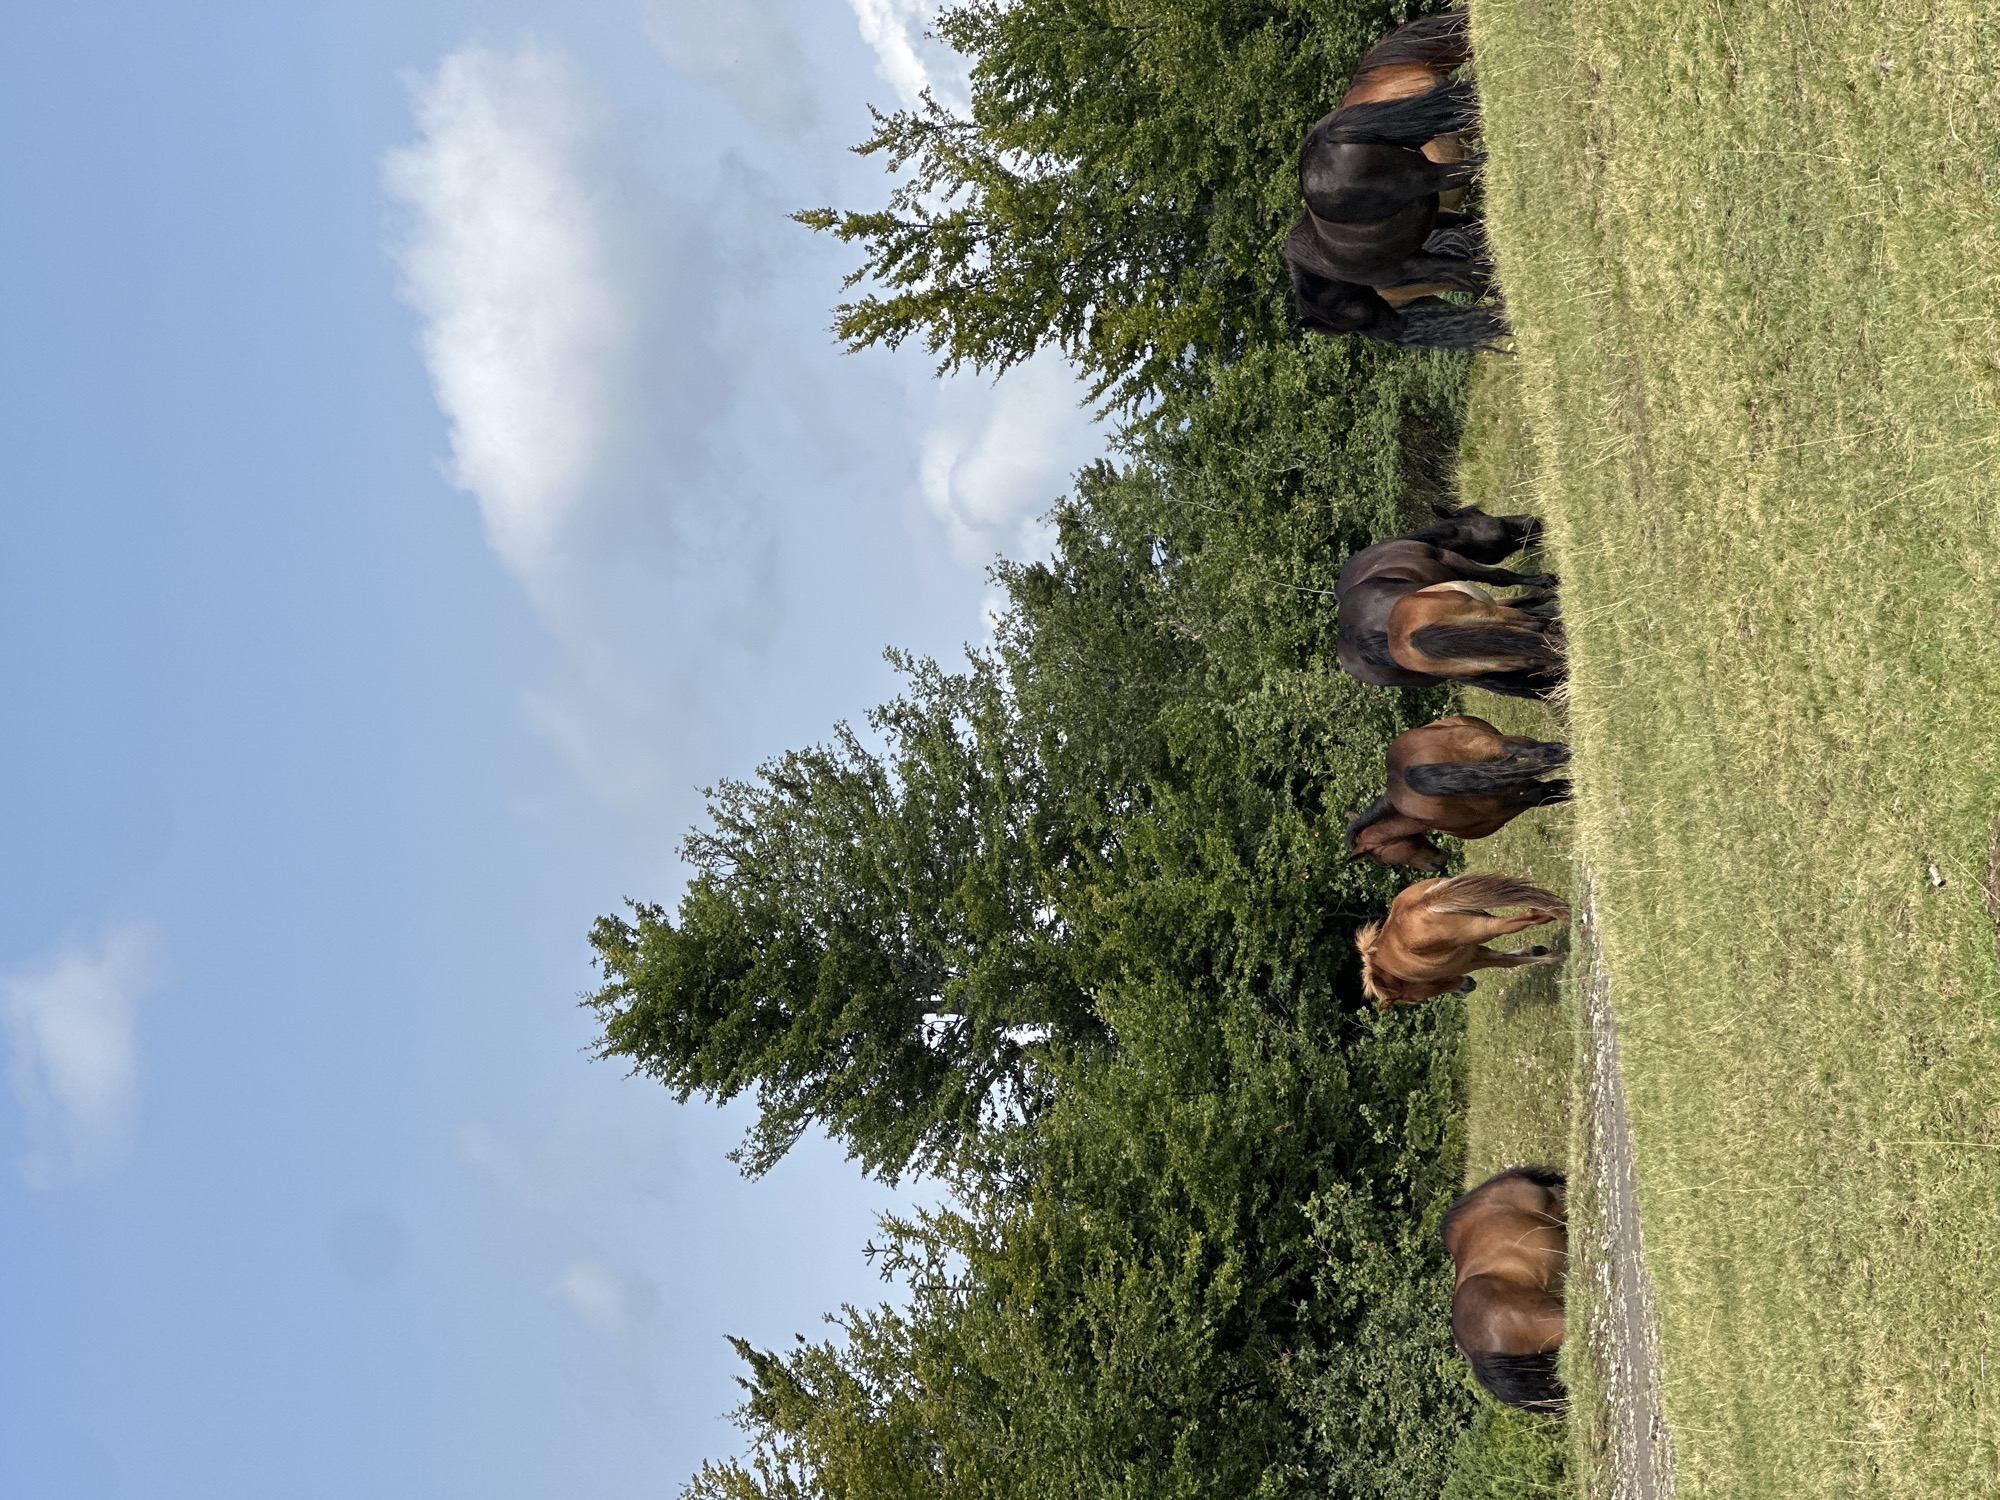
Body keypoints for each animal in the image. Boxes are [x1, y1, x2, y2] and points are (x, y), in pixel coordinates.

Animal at [1356, 872, 1567, 1008]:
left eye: (1417, 999)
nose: (1468, 985)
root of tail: (1422, 903)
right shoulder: (1472, 951)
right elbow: (1506, 955)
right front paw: (1538, 951)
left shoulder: (1470, 962)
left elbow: (1509, 962)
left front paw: (1554, 959)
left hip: (1487, 928)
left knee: (1529, 918)